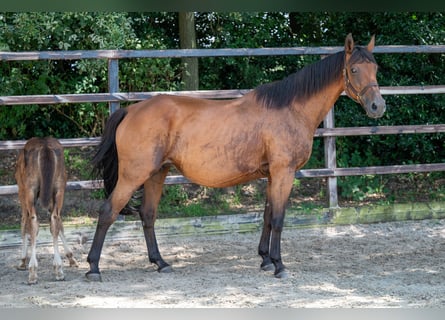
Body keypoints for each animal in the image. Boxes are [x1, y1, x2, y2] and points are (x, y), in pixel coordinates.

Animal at [14, 136, 77, 284]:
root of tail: (45, 147)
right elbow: (59, 224)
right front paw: (71, 258)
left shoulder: (22, 192)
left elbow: (24, 222)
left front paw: (22, 261)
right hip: (59, 188)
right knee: (55, 219)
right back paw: (58, 269)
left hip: (29, 190)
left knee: (33, 221)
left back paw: (32, 272)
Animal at [86, 33, 386, 282]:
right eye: (354, 69)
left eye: (375, 69)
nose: (377, 106)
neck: (290, 109)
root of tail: (130, 110)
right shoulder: (284, 172)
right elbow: (279, 218)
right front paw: (279, 265)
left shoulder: (272, 175)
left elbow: (267, 215)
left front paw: (265, 259)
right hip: (133, 176)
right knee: (107, 212)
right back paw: (93, 268)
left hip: (156, 174)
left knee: (148, 215)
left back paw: (161, 263)